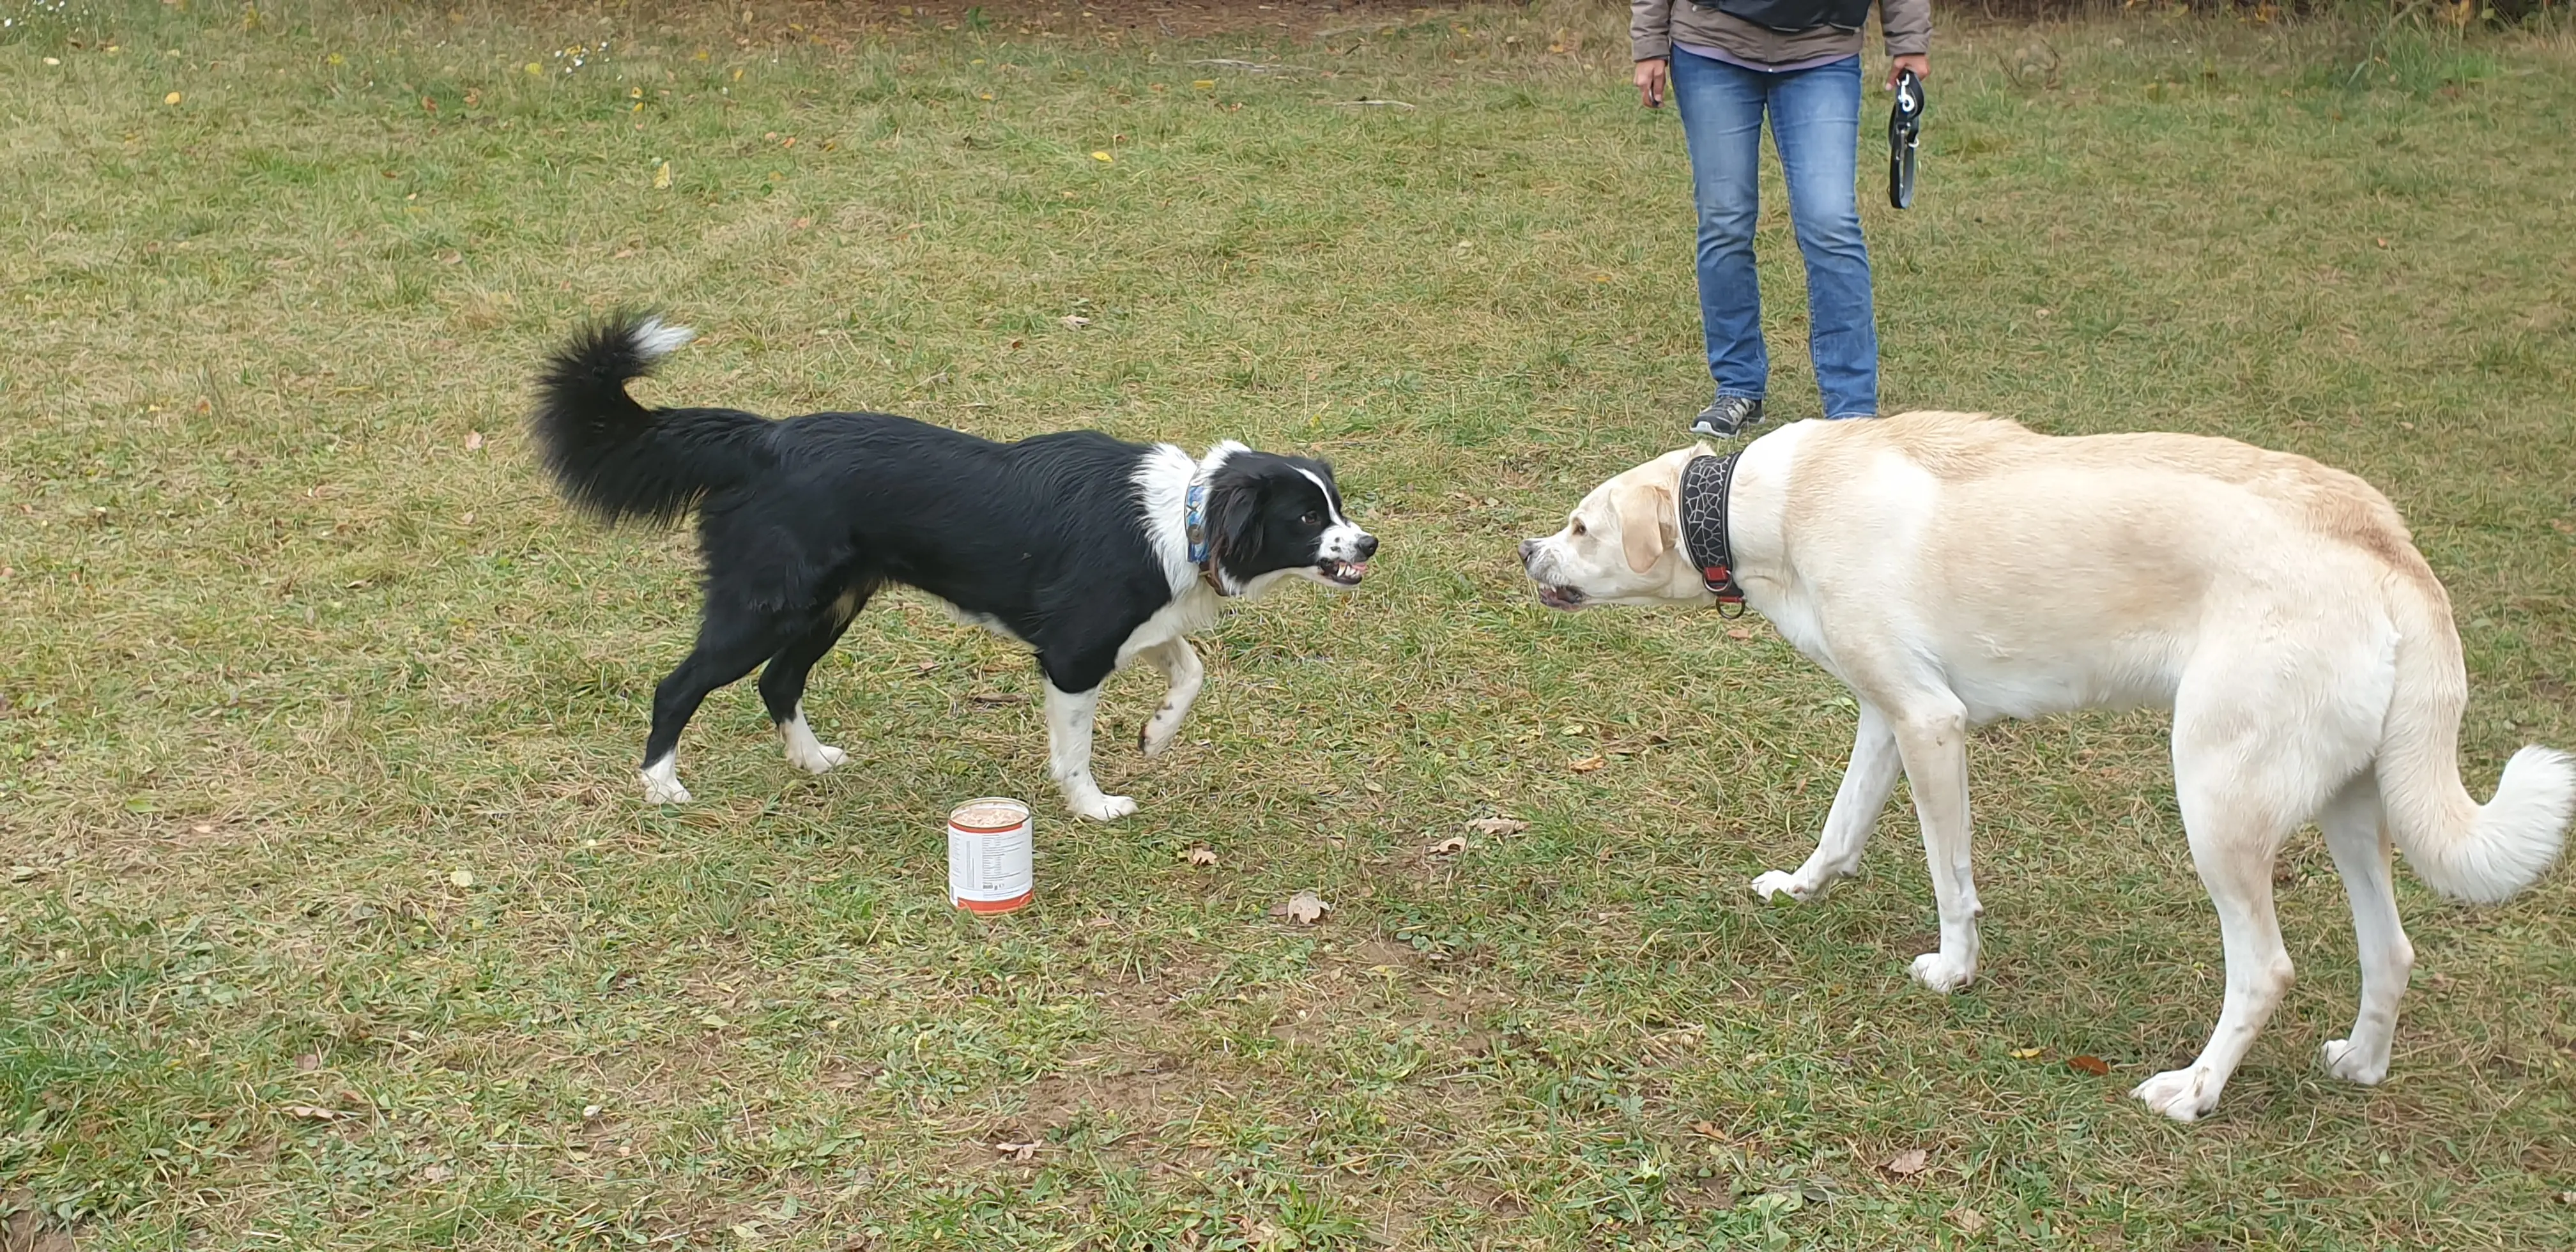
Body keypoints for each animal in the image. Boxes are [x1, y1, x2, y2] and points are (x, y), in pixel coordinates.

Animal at [523, 318, 1370, 819]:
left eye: (1337, 504)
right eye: (1306, 518)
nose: (1367, 545)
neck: (1187, 516)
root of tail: (762, 439)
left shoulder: (1137, 626)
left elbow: (1191, 671)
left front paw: (1155, 735)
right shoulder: (1074, 656)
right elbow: (1076, 748)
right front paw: (1093, 806)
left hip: (831, 604)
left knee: (779, 682)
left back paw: (811, 760)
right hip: (766, 606)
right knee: (680, 686)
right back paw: (662, 785)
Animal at [1514, 412, 2565, 1123]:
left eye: (1578, 526)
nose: (1524, 549)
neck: (1764, 504)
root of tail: (2387, 543)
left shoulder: (1931, 726)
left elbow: (1952, 881)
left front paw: (1953, 972)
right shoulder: (1885, 719)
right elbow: (1840, 828)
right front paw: (1803, 889)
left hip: (2216, 803)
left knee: (2264, 969)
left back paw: (2194, 1091)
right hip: (2351, 809)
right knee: (2391, 951)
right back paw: (2361, 1064)